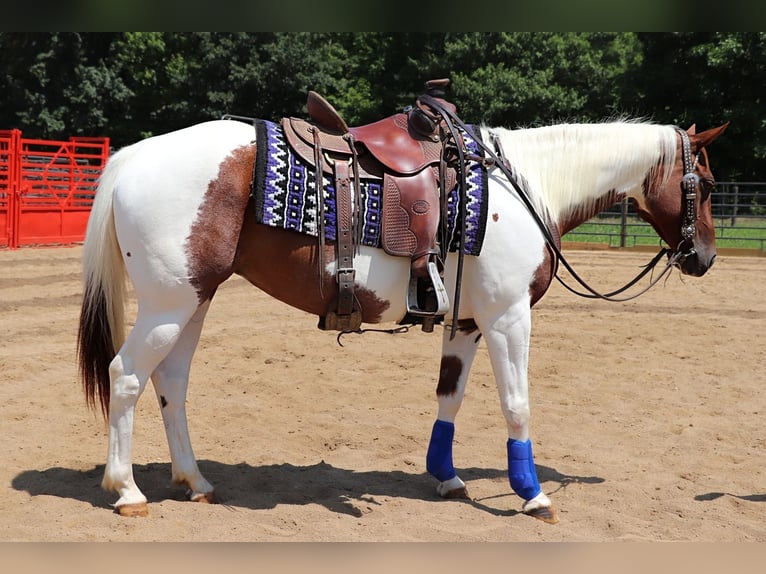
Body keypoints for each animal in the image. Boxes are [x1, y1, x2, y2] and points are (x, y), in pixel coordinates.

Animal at [76, 108, 727, 522]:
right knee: (126, 377)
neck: (523, 188)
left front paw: (447, 476)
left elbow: (449, 398)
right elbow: (516, 403)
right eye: (707, 181)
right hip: (169, 304)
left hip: (194, 301)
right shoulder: (508, 318)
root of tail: (132, 157)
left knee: (172, 383)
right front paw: (533, 493)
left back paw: (196, 482)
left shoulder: (468, 323)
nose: (704, 257)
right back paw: (127, 490)